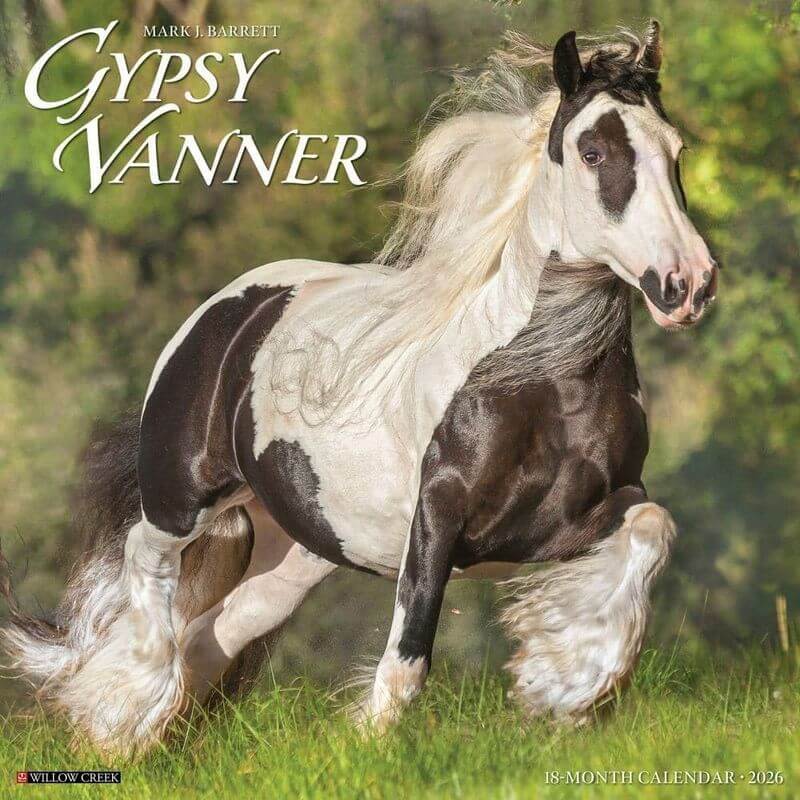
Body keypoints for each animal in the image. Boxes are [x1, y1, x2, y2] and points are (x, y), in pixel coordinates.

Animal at [3, 21, 718, 755]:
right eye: (592, 150)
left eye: (677, 150)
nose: (687, 284)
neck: (539, 385)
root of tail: (229, 310)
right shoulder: (436, 519)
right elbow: (408, 652)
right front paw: (380, 743)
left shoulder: (579, 516)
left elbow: (652, 529)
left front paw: (569, 682)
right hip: (182, 499)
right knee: (148, 573)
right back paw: (115, 718)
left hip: (295, 552)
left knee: (214, 632)